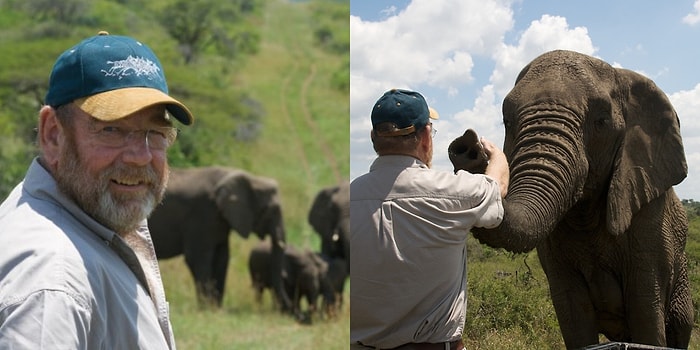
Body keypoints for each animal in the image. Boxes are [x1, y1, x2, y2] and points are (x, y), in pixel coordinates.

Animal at [146, 165, 292, 310]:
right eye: (269, 211)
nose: (291, 312)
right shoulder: (202, 213)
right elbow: (197, 258)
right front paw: (206, 308)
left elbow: (222, 257)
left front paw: (216, 308)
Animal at [460, 50, 696, 348]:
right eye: (507, 122)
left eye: (601, 121)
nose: (469, 145)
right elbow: (574, 316)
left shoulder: (650, 221)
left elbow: (646, 313)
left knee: (679, 323)